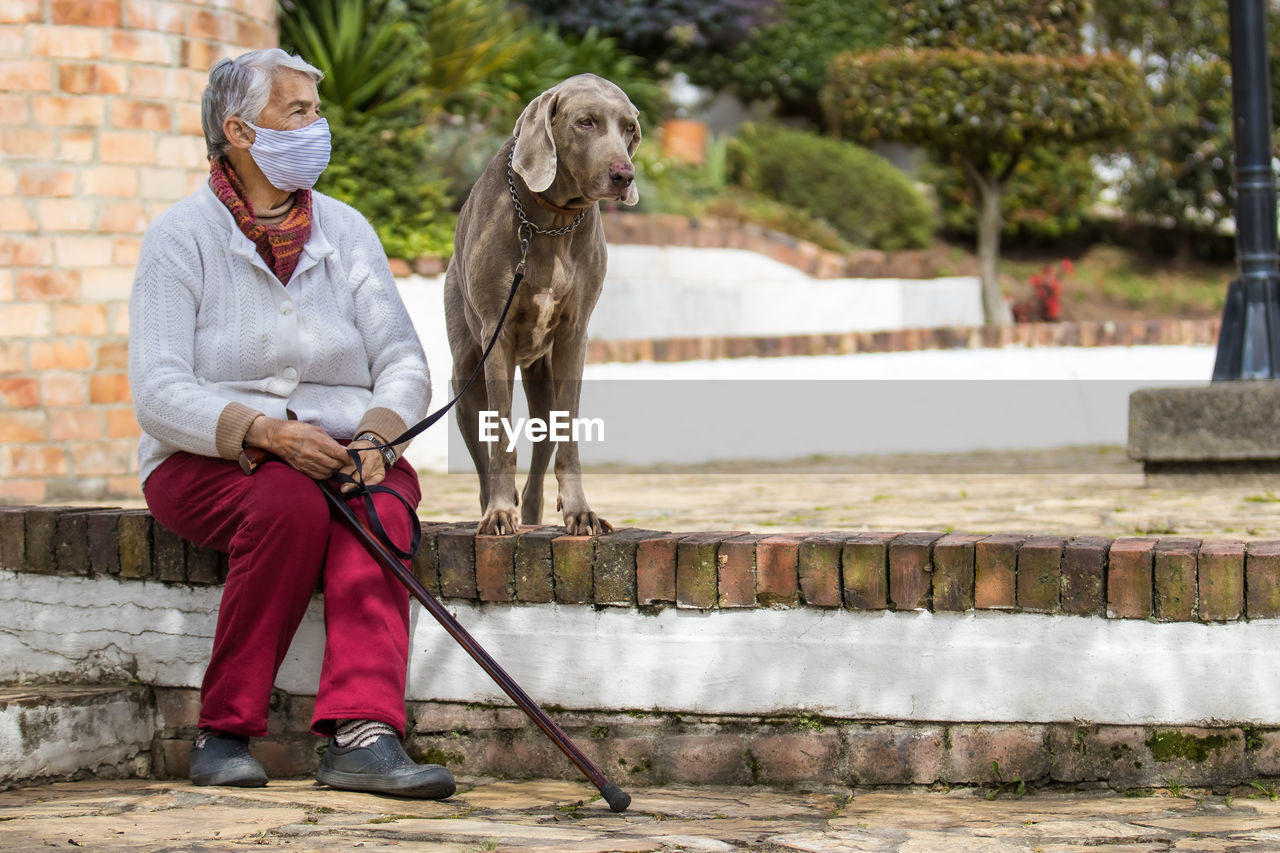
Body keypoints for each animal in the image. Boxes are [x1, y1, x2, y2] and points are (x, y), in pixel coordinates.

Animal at [442, 76, 640, 535]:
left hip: (541, 375)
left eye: (629, 129)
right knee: (482, 448)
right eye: (586, 122)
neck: (550, 222)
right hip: (466, 372)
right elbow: (500, 440)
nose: (624, 175)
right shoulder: (496, 334)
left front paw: (580, 512)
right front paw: (500, 512)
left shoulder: (573, 335)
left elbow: (568, 437)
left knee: (542, 453)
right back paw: (494, 509)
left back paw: (532, 515)